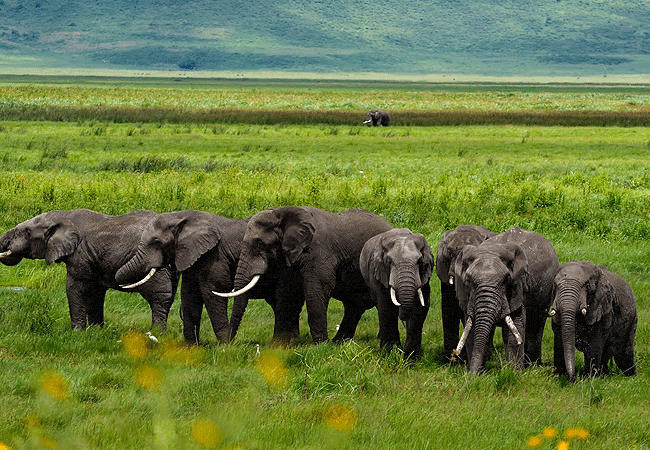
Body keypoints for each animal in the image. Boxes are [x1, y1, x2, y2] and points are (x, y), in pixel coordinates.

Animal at [0, 209, 179, 330]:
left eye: (27, 232)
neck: (64, 216)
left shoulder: (80, 255)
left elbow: (74, 288)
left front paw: (77, 332)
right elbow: (95, 293)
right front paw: (96, 331)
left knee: (159, 297)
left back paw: (157, 333)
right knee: (169, 296)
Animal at [115, 210, 276, 345]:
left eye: (157, 242)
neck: (181, 216)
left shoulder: (215, 257)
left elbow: (213, 292)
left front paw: (224, 345)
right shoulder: (191, 255)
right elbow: (190, 295)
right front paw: (191, 347)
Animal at [215, 206, 393, 344]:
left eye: (260, 244)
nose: (228, 344)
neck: (282, 213)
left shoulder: (319, 253)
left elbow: (316, 289)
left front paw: (321, 346)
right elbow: (287, 293)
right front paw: (280, 345)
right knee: (354, 304)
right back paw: (339, 342)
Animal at [360, 228, 434, 360]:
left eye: (420, 261)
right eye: (389, 261)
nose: (403, 317)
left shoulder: (425, 276)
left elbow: (420, 308)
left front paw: (411, 357)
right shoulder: (379, 272)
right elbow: (386, 307)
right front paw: (389, 354)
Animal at [453, 226, 559, 374]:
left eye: (506, 280)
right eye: (468, 281)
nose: (471, 376)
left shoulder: (518, 288)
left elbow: (514, 330)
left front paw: (515, 373)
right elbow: (472, 331)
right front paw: (479, 373)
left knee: (536, 323)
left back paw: (533, 365)